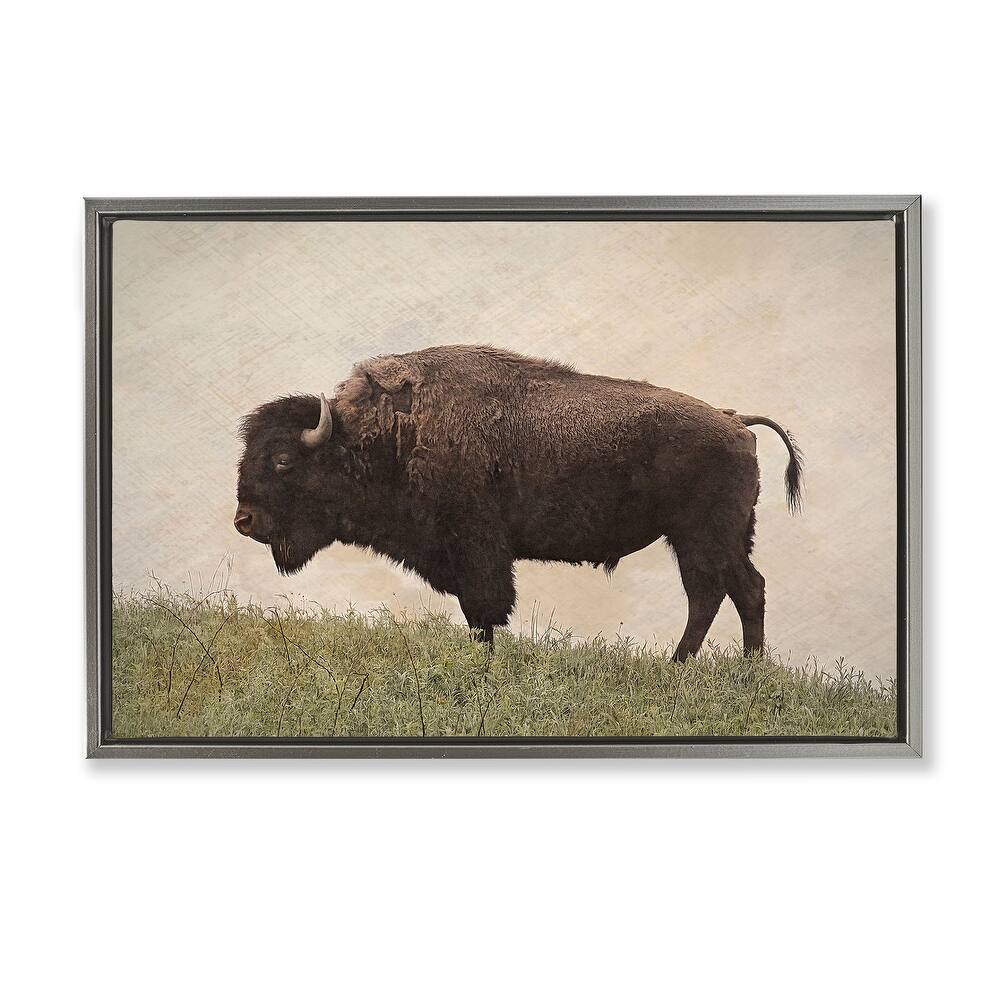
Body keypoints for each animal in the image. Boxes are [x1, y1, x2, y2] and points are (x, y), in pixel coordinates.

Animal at [235, 345, 802, 660]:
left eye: (282, 460)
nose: (244, 520)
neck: (387, 433)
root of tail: (735, 422)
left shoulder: (477, 550)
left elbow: (484, 612)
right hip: (711, 539)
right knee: (730, 593)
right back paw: (718, 671)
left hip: (704, 537)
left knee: (724, 593)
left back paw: (708, 671)